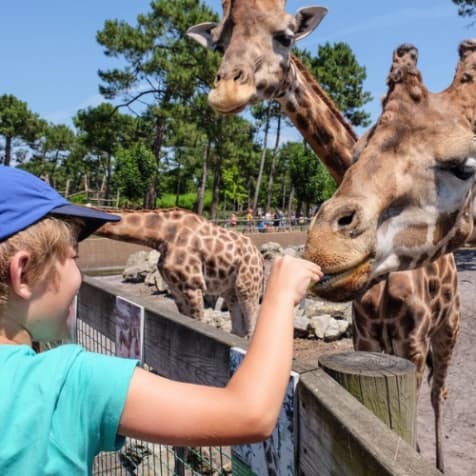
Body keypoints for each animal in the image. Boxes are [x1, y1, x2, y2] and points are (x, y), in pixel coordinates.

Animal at [94, 208, 264, 338]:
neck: (162, 235)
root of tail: (260, 257)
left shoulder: (193, 285)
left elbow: (197, 324)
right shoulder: (176, 289)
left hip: (247, 286)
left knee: (250, 328)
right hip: (230, 290)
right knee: (238, 329)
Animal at [188, 1, 462, 470]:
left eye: (284, 36)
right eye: (221, 42)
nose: (226, 92)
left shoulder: (411, 341)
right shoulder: (366, 337)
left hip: (448, 329)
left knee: (439, 394)